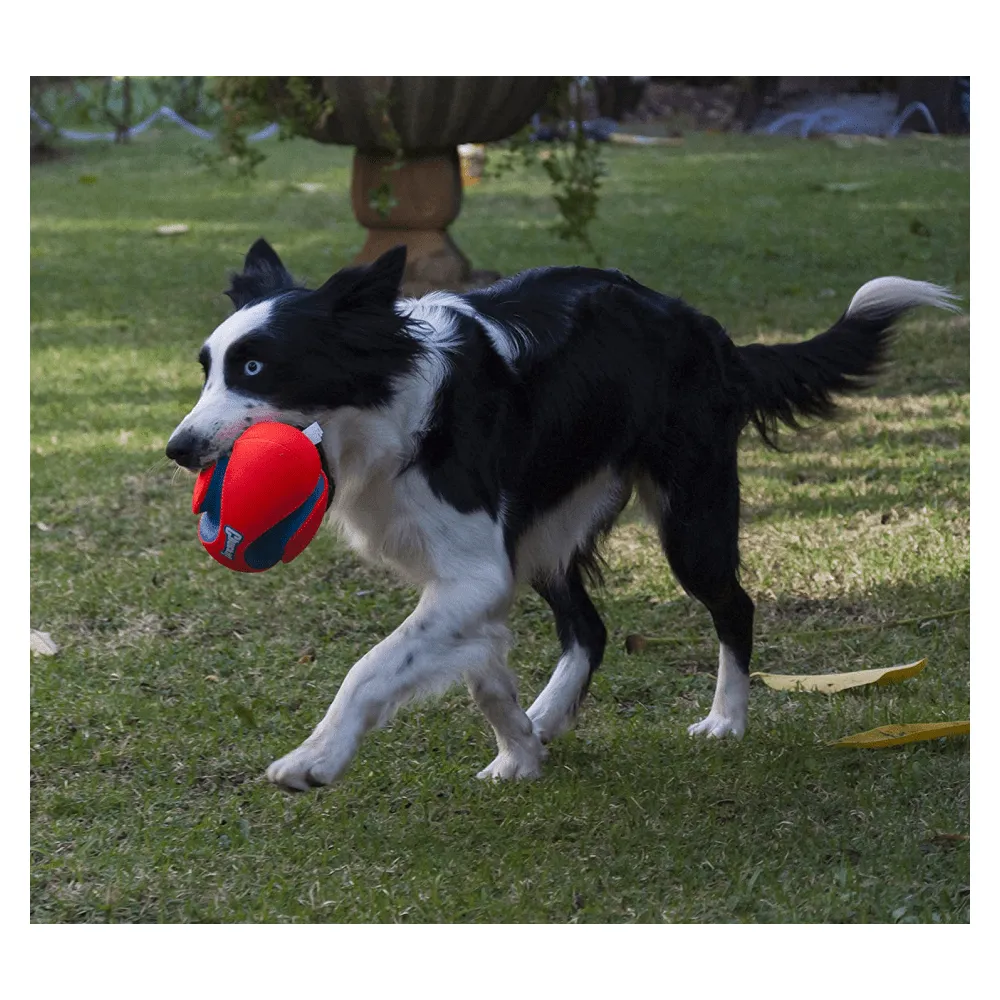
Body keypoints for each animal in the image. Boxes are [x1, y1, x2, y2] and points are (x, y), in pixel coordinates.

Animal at [168, 240, 956, 788]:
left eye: (256, 368)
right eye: (207, 369)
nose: (179, 449)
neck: (385, 403)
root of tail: (709, 331)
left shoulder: (475, 571)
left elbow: (373, 667)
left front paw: (315, 759)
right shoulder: (477, 573)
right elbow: (483, 673)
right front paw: (520, 750)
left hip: (690, 514)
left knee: (734, 604)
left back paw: (726, 719)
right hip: (549, 529)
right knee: (591, 627)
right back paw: (547, 717)